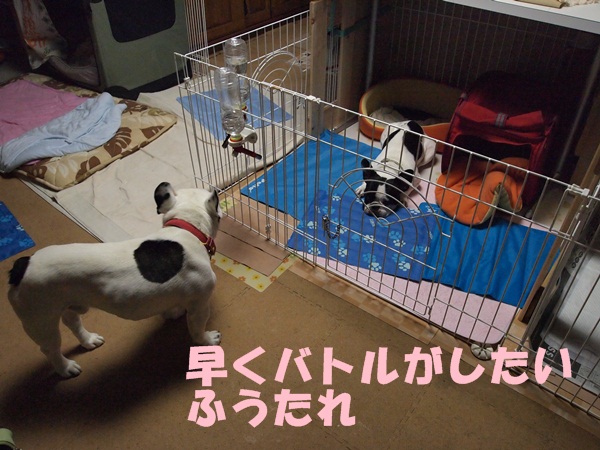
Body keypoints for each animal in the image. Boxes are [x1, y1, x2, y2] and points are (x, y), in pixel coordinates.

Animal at [7, 182, 222, 378]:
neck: (186, 228)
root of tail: (23, 265)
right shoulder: (200, 304)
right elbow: (197, 329)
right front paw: (207, 341)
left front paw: (174, 312)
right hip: (40, 320)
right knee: (50, 348)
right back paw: (65, 368)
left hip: (67, 302)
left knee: (72, 320)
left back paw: (88, 340)